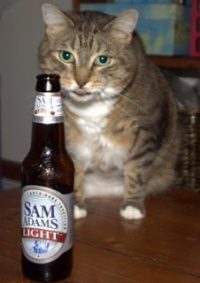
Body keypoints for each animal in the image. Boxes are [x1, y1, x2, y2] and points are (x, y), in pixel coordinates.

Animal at [38, 3, 180, 221]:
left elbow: (137, 168)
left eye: (103, 60)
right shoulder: (70, 136)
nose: (81, 81)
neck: (92, 107)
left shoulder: (147, 128)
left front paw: (132, 206)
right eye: (66, 56)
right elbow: (73, 169)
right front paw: (76, 204)